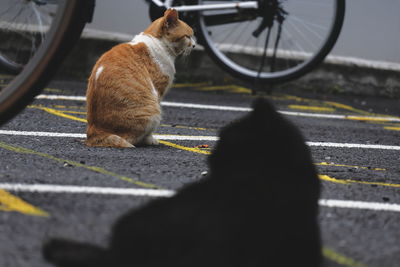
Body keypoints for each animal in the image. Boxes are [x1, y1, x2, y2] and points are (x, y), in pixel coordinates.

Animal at [86, 9, 195, 149]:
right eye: (188, 36)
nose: (194, 45)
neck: (158, 43)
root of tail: (94, 131)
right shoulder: (158, 92)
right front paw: (151, 139)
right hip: (152, 111)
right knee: (130, 139)